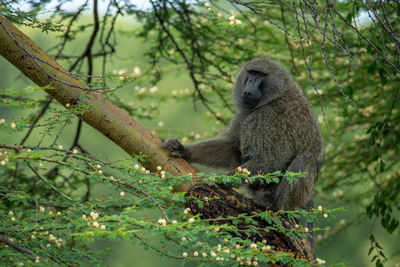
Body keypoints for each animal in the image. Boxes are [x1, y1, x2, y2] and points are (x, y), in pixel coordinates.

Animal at [162, 56, 322, 211]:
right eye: (252, 72)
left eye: (260, 75)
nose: (248, 88)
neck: (275, 95)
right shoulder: (244, 115)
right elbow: (233, 147)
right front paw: (183, 150)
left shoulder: (270, 117)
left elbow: (273, 159)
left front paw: (224, 180)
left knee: (305, 158)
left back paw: (274, 204)